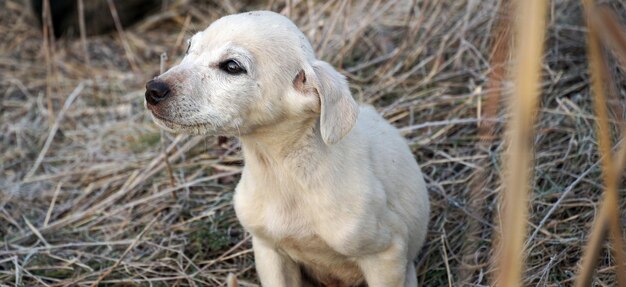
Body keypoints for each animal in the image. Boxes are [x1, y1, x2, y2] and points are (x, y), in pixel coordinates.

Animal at [146, 10, 428, 286]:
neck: (283, 174)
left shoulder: (385, 255)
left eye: (232, 66)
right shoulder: (269, 252)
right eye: (189, 47)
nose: (152, 90)